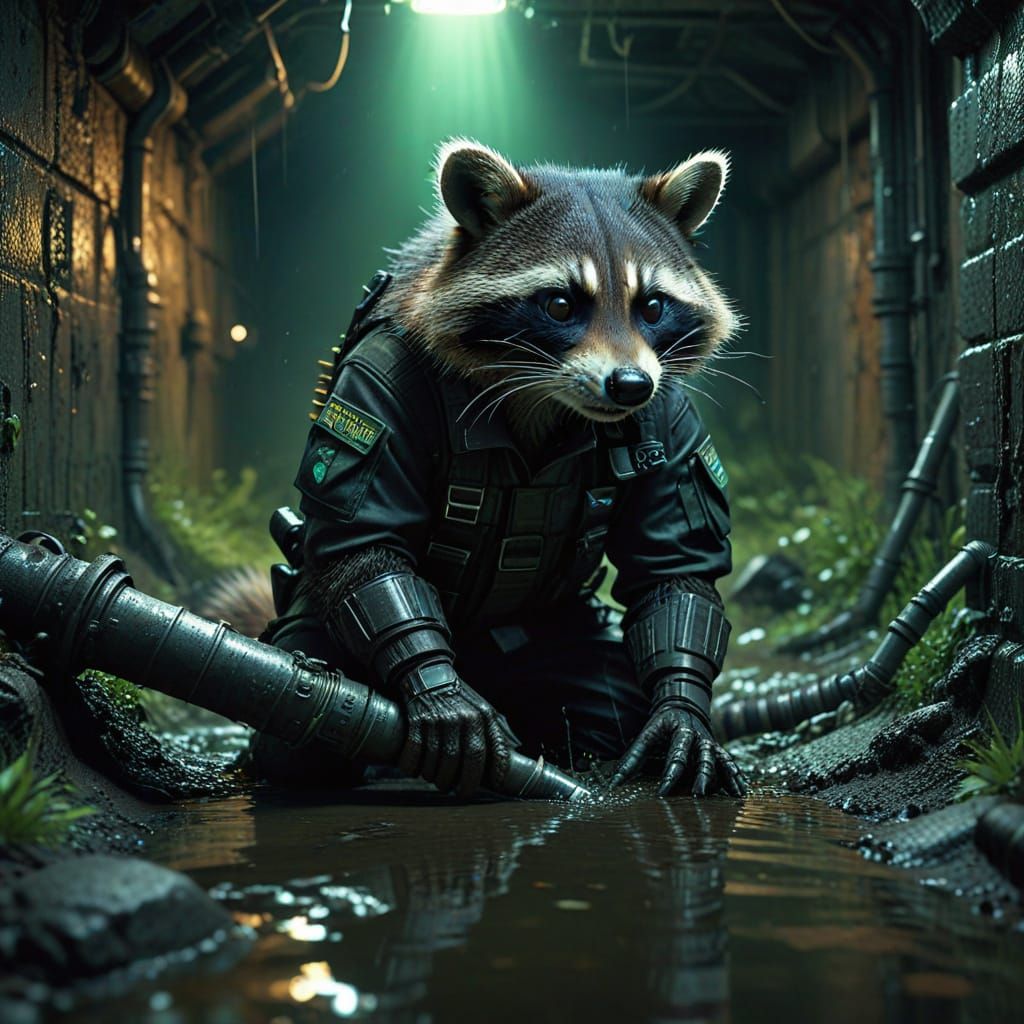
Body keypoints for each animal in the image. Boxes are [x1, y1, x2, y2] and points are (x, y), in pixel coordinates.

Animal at [257, 141, 746, 800]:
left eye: (652, 306)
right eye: (561, 304)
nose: (630, 387)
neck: (542, 393)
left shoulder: (668, 410)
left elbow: (672, 566)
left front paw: (681, 705)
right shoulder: (378, 376)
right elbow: (365, 540)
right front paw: (433, 679)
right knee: (293, 742)